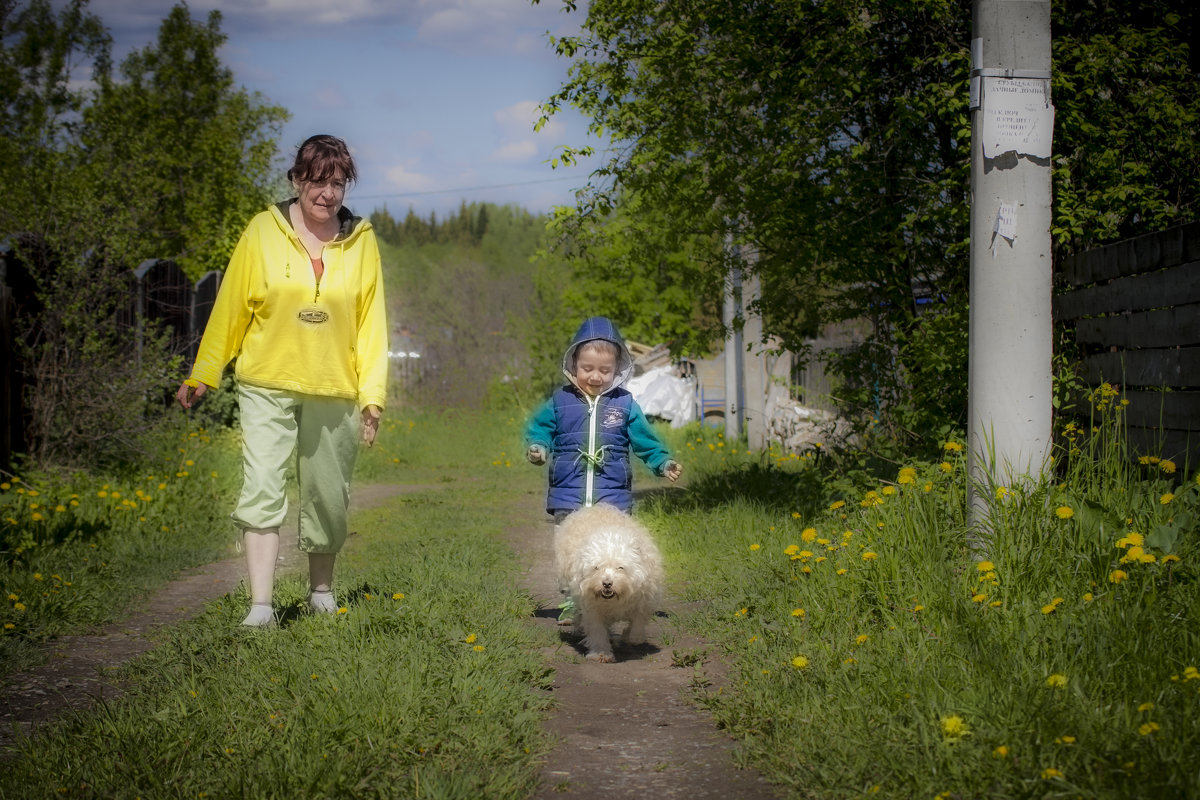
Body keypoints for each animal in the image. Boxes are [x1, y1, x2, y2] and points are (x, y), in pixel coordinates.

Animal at [552, 506, 667, 662]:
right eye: (596, 568)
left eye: (620, 567)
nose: (607, 583)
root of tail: (593, 507)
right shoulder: (592, 608)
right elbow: (598, 630)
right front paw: (601, 653)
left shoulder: (645, 599)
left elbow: (638, 622)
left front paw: (632, 637)